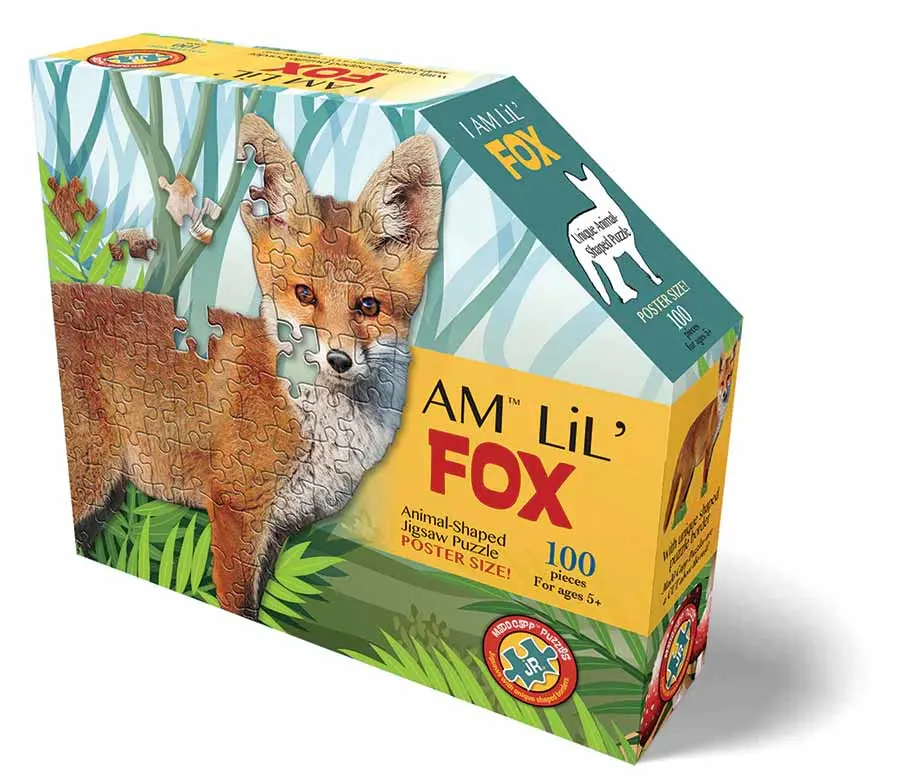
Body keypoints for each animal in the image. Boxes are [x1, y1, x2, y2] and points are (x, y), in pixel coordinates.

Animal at [52, 114, 442, 618]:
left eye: (369, 306)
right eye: (304, 294)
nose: (338, 360)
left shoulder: (277, 529)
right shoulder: (237, 512)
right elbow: (237, 605)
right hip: (89, 481)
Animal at [663, 344, 738, 532]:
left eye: (729, 377)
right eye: (721, 382)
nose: (724, 393)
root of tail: (679, 455)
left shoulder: (714, 444)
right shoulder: (709, 444)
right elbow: (705, 472)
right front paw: (704, 489)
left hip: (687, 478)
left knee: (678, 506)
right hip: (688, 475)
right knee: (675, 509)